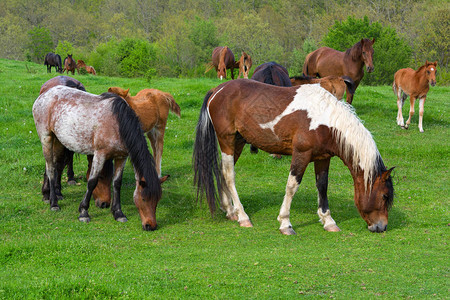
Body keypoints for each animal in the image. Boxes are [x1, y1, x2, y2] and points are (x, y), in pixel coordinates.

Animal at [33, 85, 163, 231]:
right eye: (144, 198)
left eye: (157, 200)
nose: (151, 226)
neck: (118, 123)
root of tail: (45, 94)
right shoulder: (100, 155)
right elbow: (92, 182)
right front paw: (83, 212)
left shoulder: (121, 157)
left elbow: (117, 183)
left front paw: (118, 213)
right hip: (47, 138)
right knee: (50, 169)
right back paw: (54, 203)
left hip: (58, 142)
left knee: (52, 166)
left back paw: (47, 195)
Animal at [193, 79, 394, 234]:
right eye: (384, 196)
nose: (382, 227)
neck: (324, 121)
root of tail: (217, 90)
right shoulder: (301, 154)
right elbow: (292, 186)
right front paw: (285, 223)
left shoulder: (323, 158)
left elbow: (322, 186)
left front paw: (328, 221)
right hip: (226, 140)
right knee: (229, 175)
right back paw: (242, 216)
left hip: (238, 142)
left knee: (222, 172)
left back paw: (229, 210)